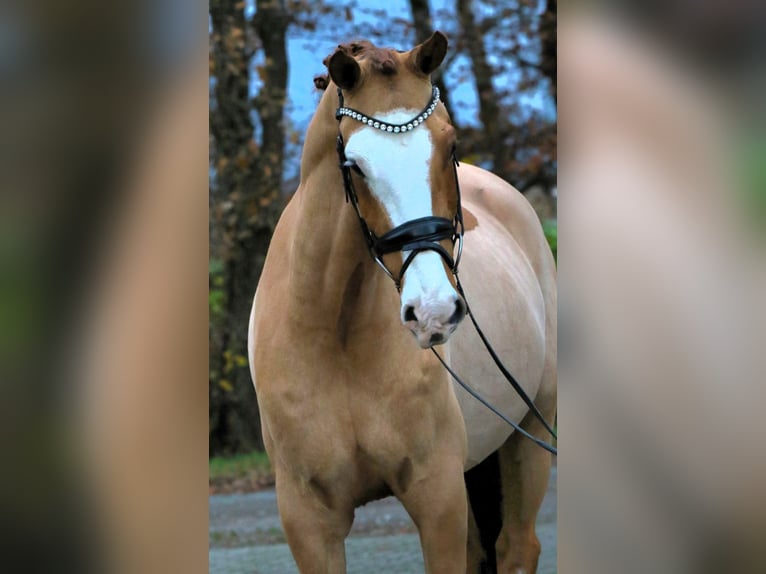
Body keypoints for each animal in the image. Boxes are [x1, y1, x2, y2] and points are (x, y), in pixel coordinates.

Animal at [252, 32, 560, 574]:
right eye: (353, 166)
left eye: (450, 145)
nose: (433, 310)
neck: (335, 336)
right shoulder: (308, 520)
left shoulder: (438, 497)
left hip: (528, 433)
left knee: (517, 547)